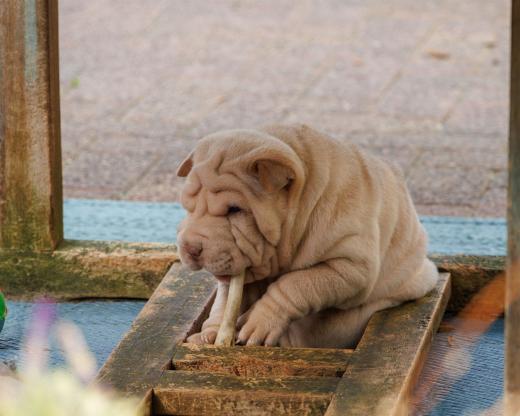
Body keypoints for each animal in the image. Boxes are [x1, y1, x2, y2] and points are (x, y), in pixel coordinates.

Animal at [176, 124, 438, 348]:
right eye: (188, 206)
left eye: (234, 210)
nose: (189, 247)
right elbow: (226, 296)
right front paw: (212, 332)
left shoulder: (349, 266)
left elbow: (297, 283)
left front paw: (259, 321)